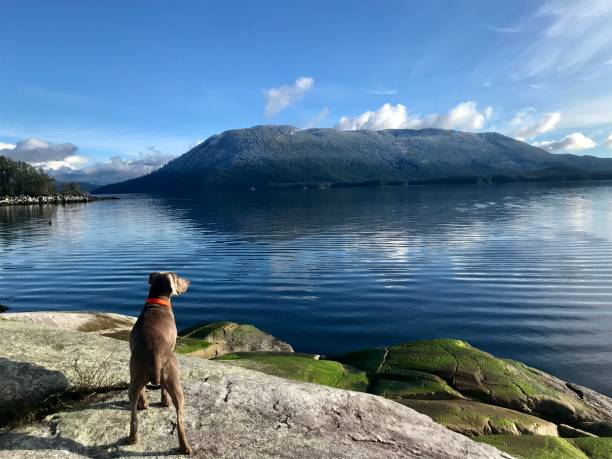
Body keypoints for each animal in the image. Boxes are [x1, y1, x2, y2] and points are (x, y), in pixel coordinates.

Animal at [130, 274, 194, 456]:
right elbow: (163, 391)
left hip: (136, 374)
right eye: (178, 278)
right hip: (173, 378)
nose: (189, 282)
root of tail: (155, 354)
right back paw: (185, 447)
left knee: (133, 415)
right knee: (180, 419)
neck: (157, 301)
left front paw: (144, 404)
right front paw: (164, 401)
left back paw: (132, 438)